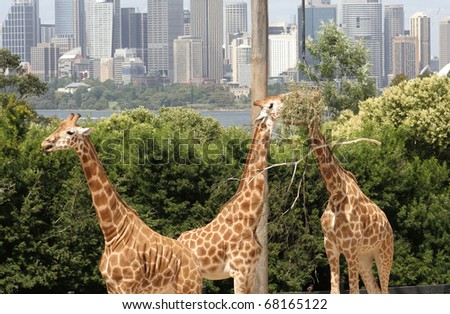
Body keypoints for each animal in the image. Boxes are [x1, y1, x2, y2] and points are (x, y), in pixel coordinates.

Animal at [40, 113, 202, 294]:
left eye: (70, 132)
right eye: (58, 126)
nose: (45, 143)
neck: (112, 233)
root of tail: (196, 262)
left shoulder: (127, 285)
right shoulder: (111, 286)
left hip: (189, 288)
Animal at [308, 121, 392, 294]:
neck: (336, 191)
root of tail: (389, 225)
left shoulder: (350, 248)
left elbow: (353, 290)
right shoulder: (330, 246)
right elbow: (334, 291)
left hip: (384, 254)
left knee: (384, 290)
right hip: (364, 259)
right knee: (375, 290)